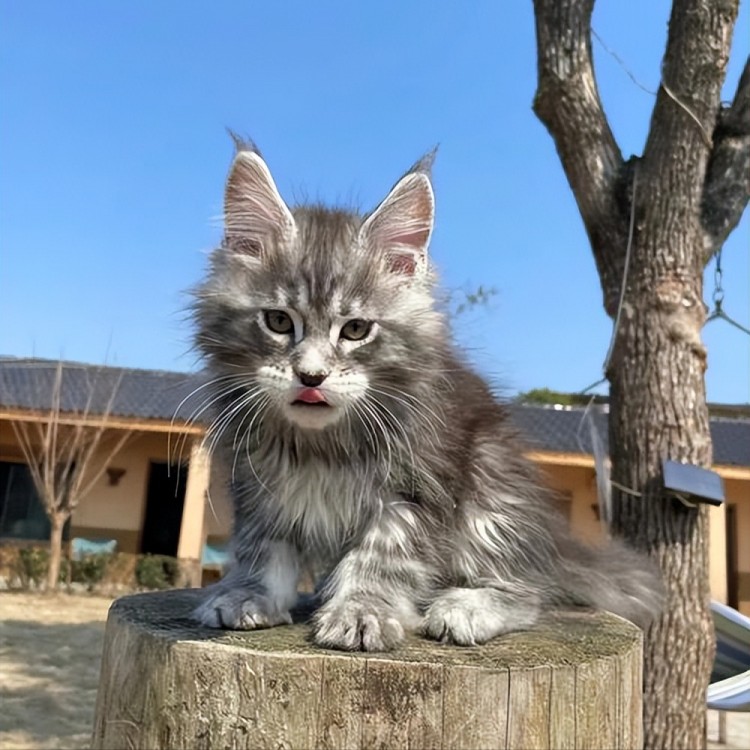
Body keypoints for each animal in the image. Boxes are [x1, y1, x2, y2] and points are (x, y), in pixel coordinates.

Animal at [192, 141, 664, 652]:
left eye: (355, 330)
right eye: (278, 321)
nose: (311, 376)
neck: (322, 445)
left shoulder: (418, 487)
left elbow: (380, 556)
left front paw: (362, 611)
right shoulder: (257, 484)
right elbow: (263, 549)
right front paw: (248, 594)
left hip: (490, 483)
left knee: (529, 591)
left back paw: (467, 607)